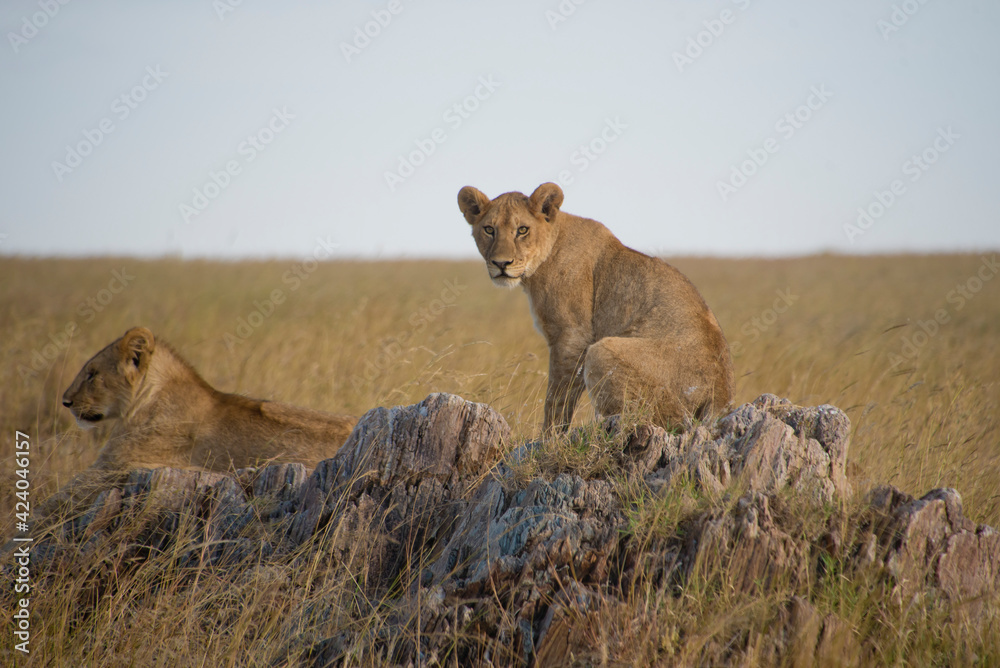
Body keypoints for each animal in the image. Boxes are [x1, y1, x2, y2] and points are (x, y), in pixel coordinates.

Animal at [458, 182, 734, 432]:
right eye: (489, 229)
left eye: (522, 230)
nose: (501, 263)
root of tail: (721, 400)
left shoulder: (573, 335)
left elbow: (557, 398)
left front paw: (548, 439)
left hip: (602, 351)